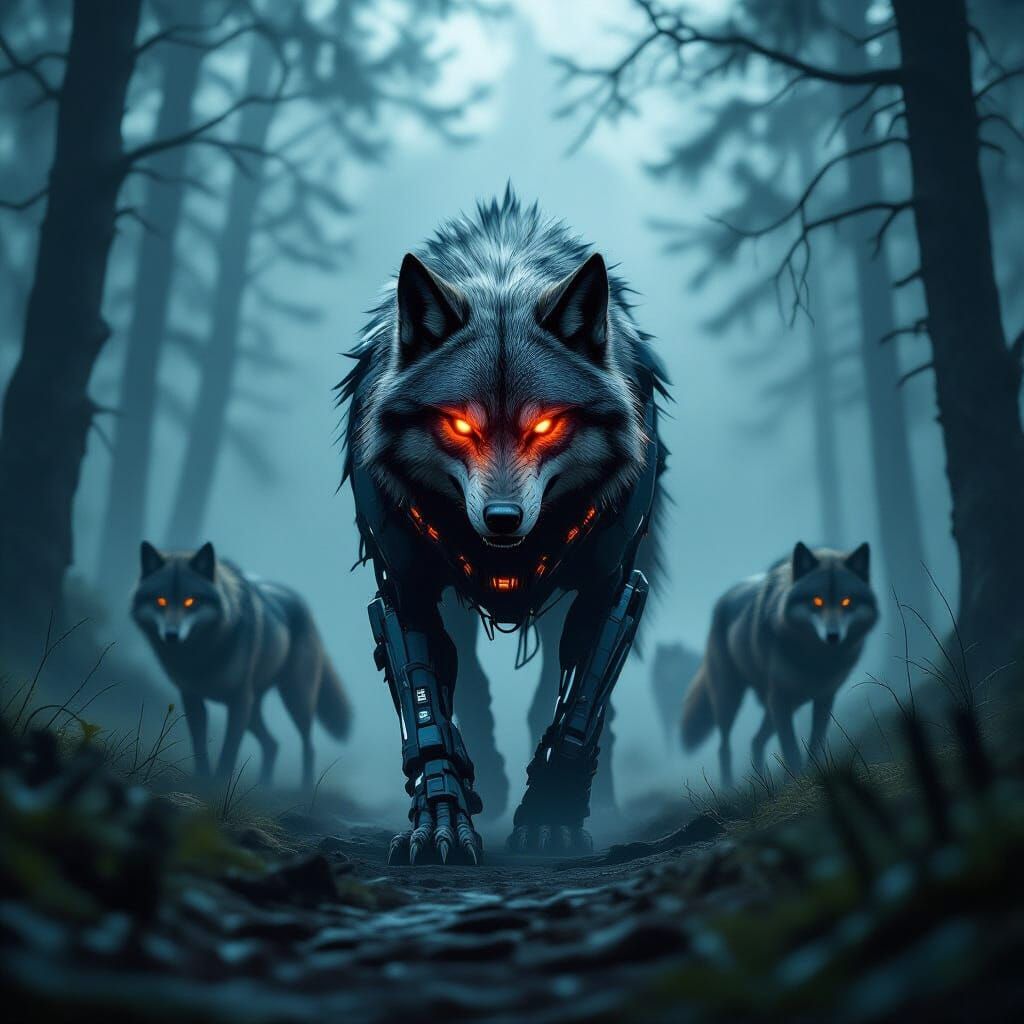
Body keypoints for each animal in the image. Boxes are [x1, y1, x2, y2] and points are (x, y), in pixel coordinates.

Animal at [132, 541, 352, 788]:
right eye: (160, 601)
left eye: (190, 601)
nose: (171, 635)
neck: (203, 654)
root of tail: (300, 600)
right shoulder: (191, 697)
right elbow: (199, 744)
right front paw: (203, 779)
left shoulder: (239, 700)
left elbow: (229, 750)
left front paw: (219, 784)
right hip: (255, 710)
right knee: (272, 744)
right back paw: (264, 786)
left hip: (295, 700)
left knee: (308, 746)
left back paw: (304, 789)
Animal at [340, 188, 668, 863]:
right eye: (460, 424)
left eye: (545, 424)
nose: (502, 519)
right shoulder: (405, 584)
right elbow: (426, 708)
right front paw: (440, 820)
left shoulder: (608, 580)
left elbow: (579, 704)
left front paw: (551, 819)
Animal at [681, 542, 877, 787]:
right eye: (817, 601)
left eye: (847, 602)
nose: (833, 636)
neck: (816, 660)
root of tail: (723, 597)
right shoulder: (780, 698)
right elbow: (790, 747)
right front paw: (797, 779)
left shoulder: (824, 697)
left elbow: (815, 742)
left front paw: (810, 775)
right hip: (731, 700)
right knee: (724, 747)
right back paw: (729, 787)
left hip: (780, 706)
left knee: (755, 740)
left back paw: (761, 781)